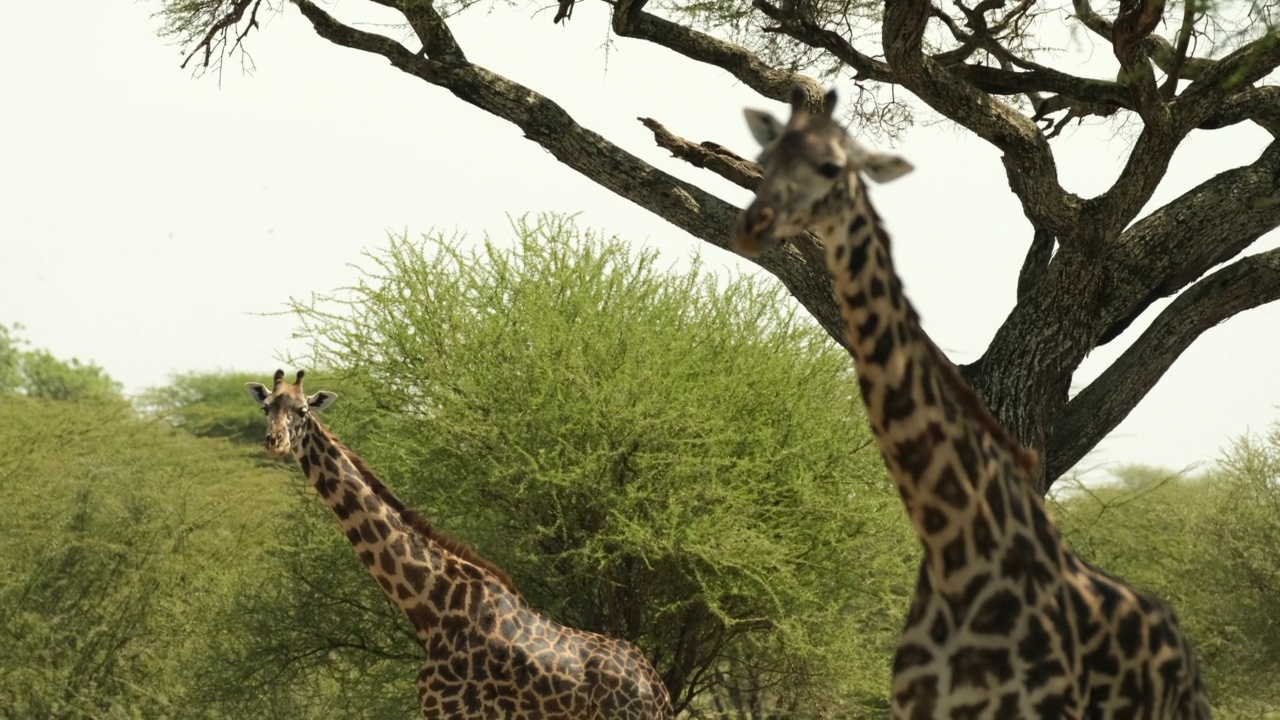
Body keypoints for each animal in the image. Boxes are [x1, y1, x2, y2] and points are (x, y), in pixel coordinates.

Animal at [243, 366, 675, 712]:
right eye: (268, 407)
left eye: (303, 410)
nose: (275, 441)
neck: (431, 606)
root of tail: (659, 692)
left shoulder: (451, 708)